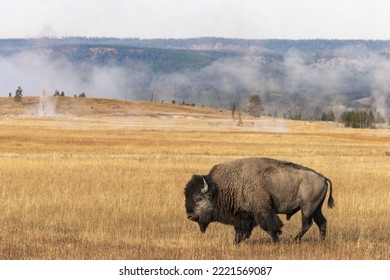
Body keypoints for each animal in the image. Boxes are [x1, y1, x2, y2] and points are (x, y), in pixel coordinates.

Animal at [184, 158, 334, 245]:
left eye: (198, 199)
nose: (189, 216)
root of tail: (322, 177)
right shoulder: (242, 216)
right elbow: (240, 230)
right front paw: (236, 242)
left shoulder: (263, 212)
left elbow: (271, 227)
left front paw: (276, 241)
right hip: (316, 209)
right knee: (322, 222)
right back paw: (322, 241)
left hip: (307, 208)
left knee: (307, 224)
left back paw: (295, 241)